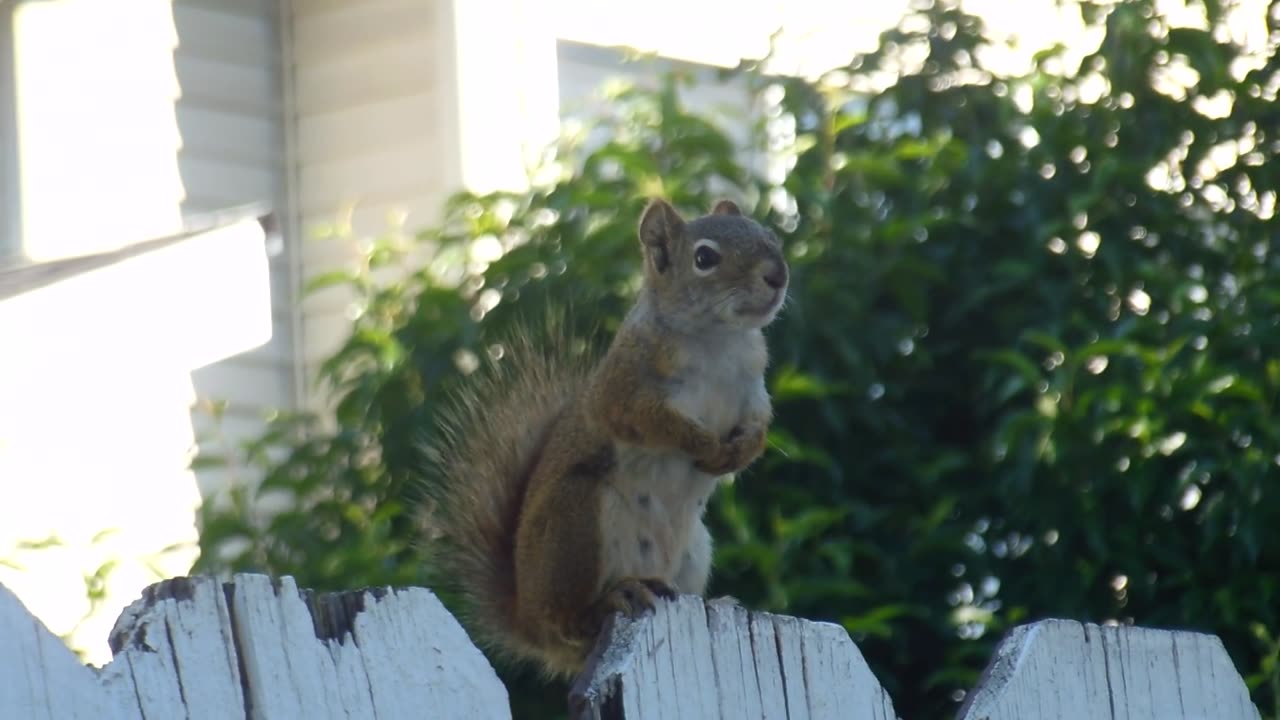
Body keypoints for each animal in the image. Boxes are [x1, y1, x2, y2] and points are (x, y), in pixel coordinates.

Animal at [424, 197, 788, 676]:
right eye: (705, 258)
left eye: (768, 235)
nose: (777, 275)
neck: (719, 341)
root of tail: (528, 621)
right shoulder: (624, 392)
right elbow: (655, 424)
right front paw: (704, 445)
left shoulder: (752, 393)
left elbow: (759, 432)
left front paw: (735, 453)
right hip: (575, 521)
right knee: (570, 621)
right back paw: (611, 599)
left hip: (694, 549)